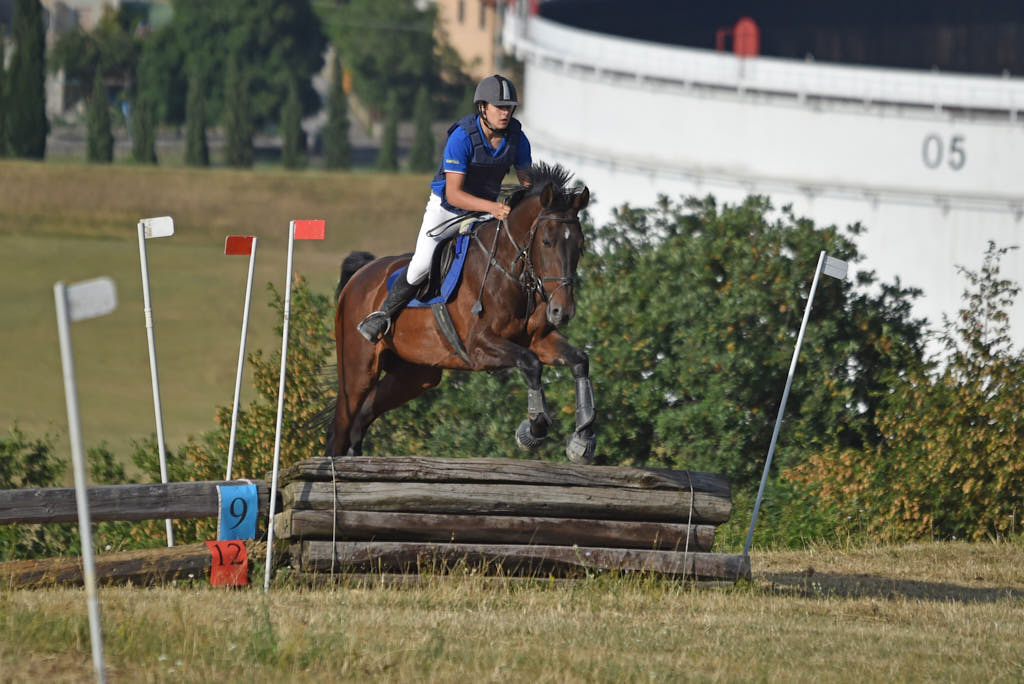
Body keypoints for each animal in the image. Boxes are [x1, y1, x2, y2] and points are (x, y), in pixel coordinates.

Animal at [327, 162, 595, 463]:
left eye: (579, 245)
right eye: (547, 242)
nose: (562, 311)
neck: (508, 271)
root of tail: (360, 275)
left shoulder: (538, 340)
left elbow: (579, 361)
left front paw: (582, 438)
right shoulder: (479, 347)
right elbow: (531, 363)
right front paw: (532, 431)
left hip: (415, 376)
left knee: (363, 416)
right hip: (358, 371)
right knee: (342, 424)